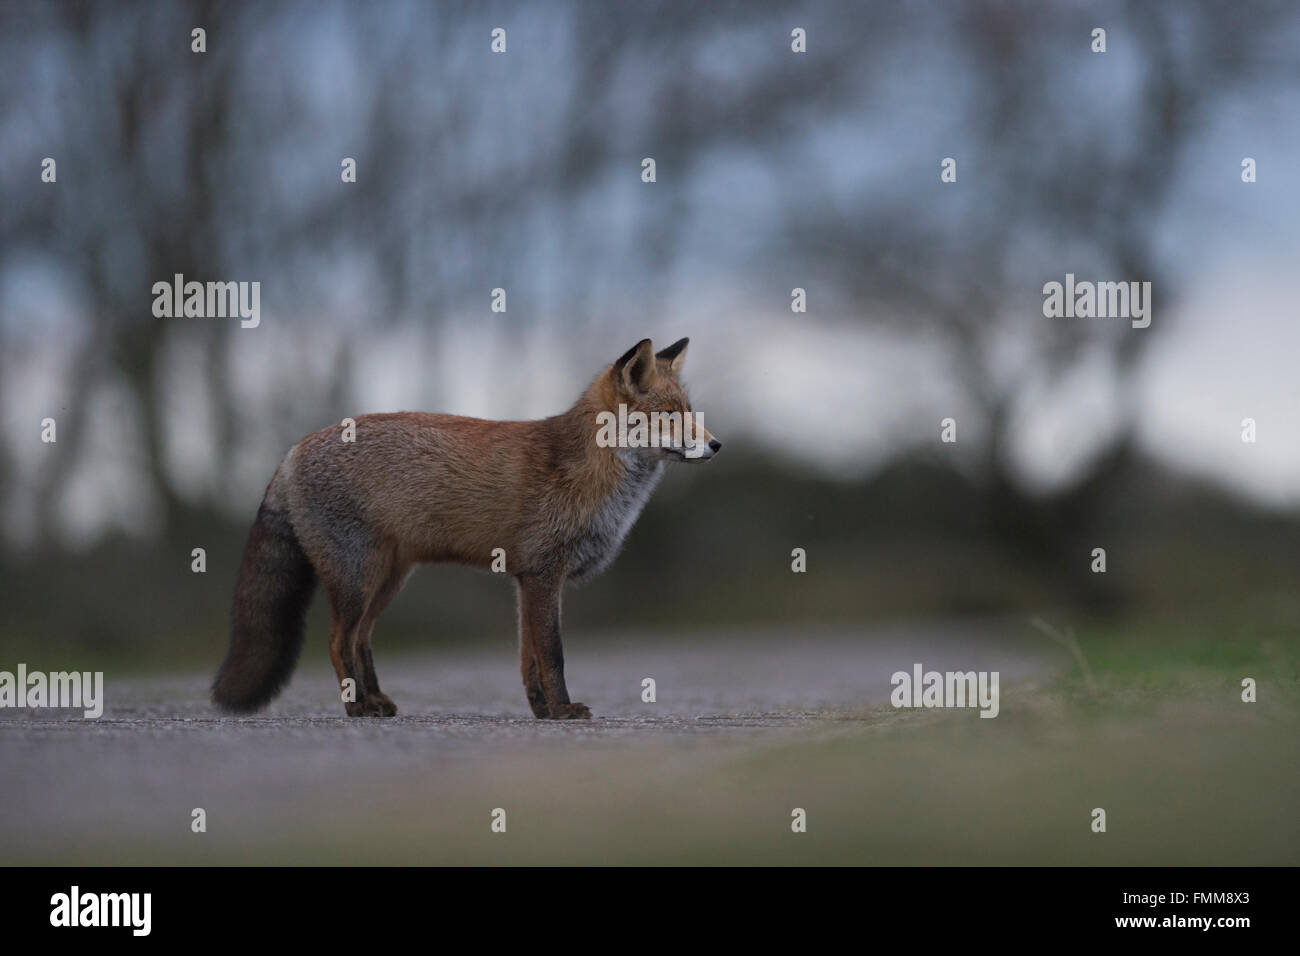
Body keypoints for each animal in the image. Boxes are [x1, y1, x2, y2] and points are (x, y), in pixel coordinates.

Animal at [214, 335, 722, 717]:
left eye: (689, 412)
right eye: (670, 416)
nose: (717, 445)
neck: (593, 474)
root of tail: (294, 449)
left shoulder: (526, 580)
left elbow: (529, 659)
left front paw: (542, 711)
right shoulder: (543, 574)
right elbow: (552, 654)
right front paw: (563, 710)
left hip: (387, 580)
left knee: (361, 639)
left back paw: (376, 700)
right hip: (359, 578)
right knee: (338, 640)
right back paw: (357, 707)